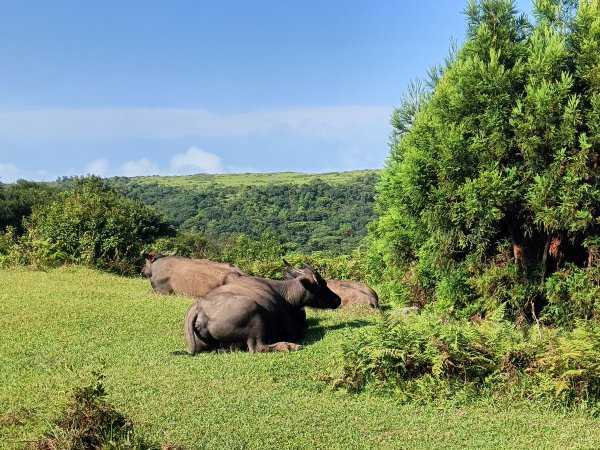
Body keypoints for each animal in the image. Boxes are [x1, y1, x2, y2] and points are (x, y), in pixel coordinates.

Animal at [183, 264, 342, 356]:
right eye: (322, 283)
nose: (337, 299)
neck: (287, 297)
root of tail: (200, 308)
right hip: (253, 314)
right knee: (256, 347)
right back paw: (290, 346)